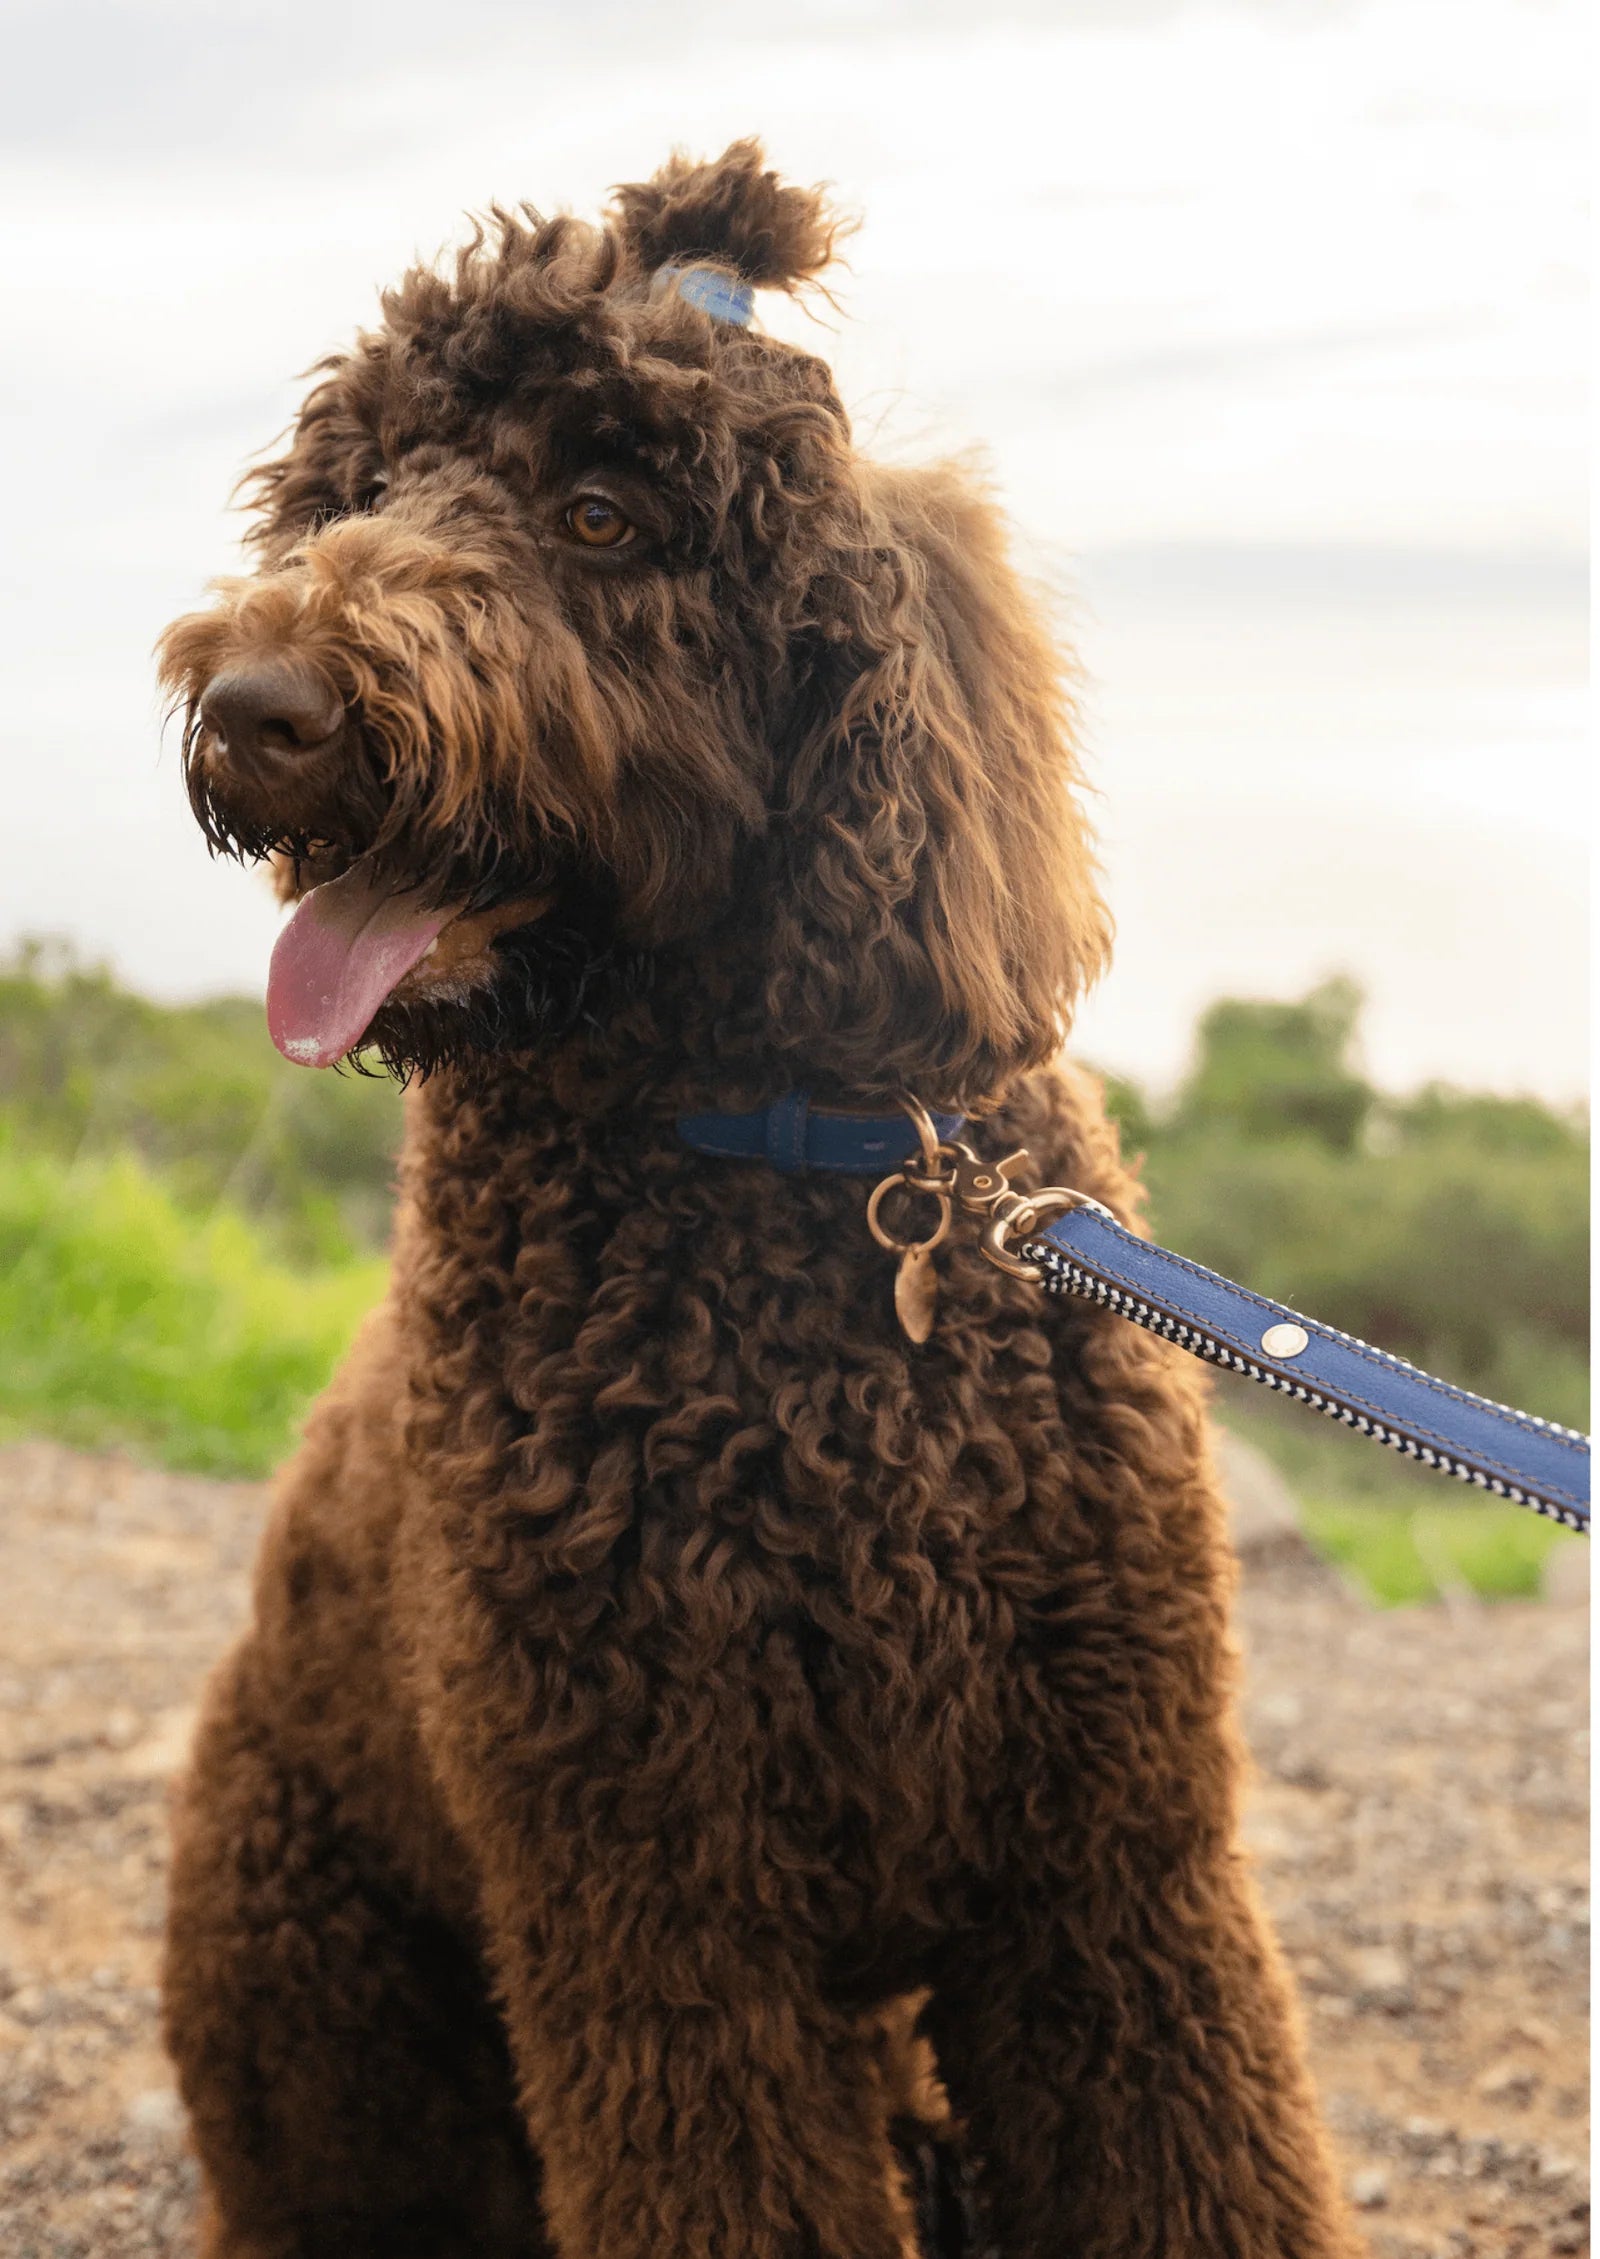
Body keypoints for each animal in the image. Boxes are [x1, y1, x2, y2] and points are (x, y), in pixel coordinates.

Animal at [153, 136, 1364, 2259]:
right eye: (351, 493)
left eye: (603, 512)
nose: (257, 703)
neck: (779, 1178)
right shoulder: (664, 1912)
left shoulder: (1116, 1869)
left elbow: (1197, 2155)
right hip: (323, 1982)